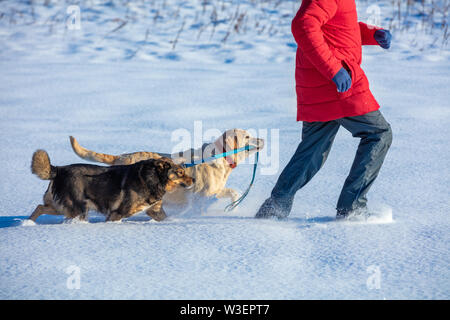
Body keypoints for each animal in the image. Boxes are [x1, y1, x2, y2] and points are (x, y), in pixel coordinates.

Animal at [29, 149, 194, 222]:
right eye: (180, 172)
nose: (193, 179)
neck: (153, 178)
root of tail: (59, 170)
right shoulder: (117, 213)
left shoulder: (154, 210)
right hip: (77, 209)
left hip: (61, 207)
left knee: (39, 207)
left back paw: (28, 223)